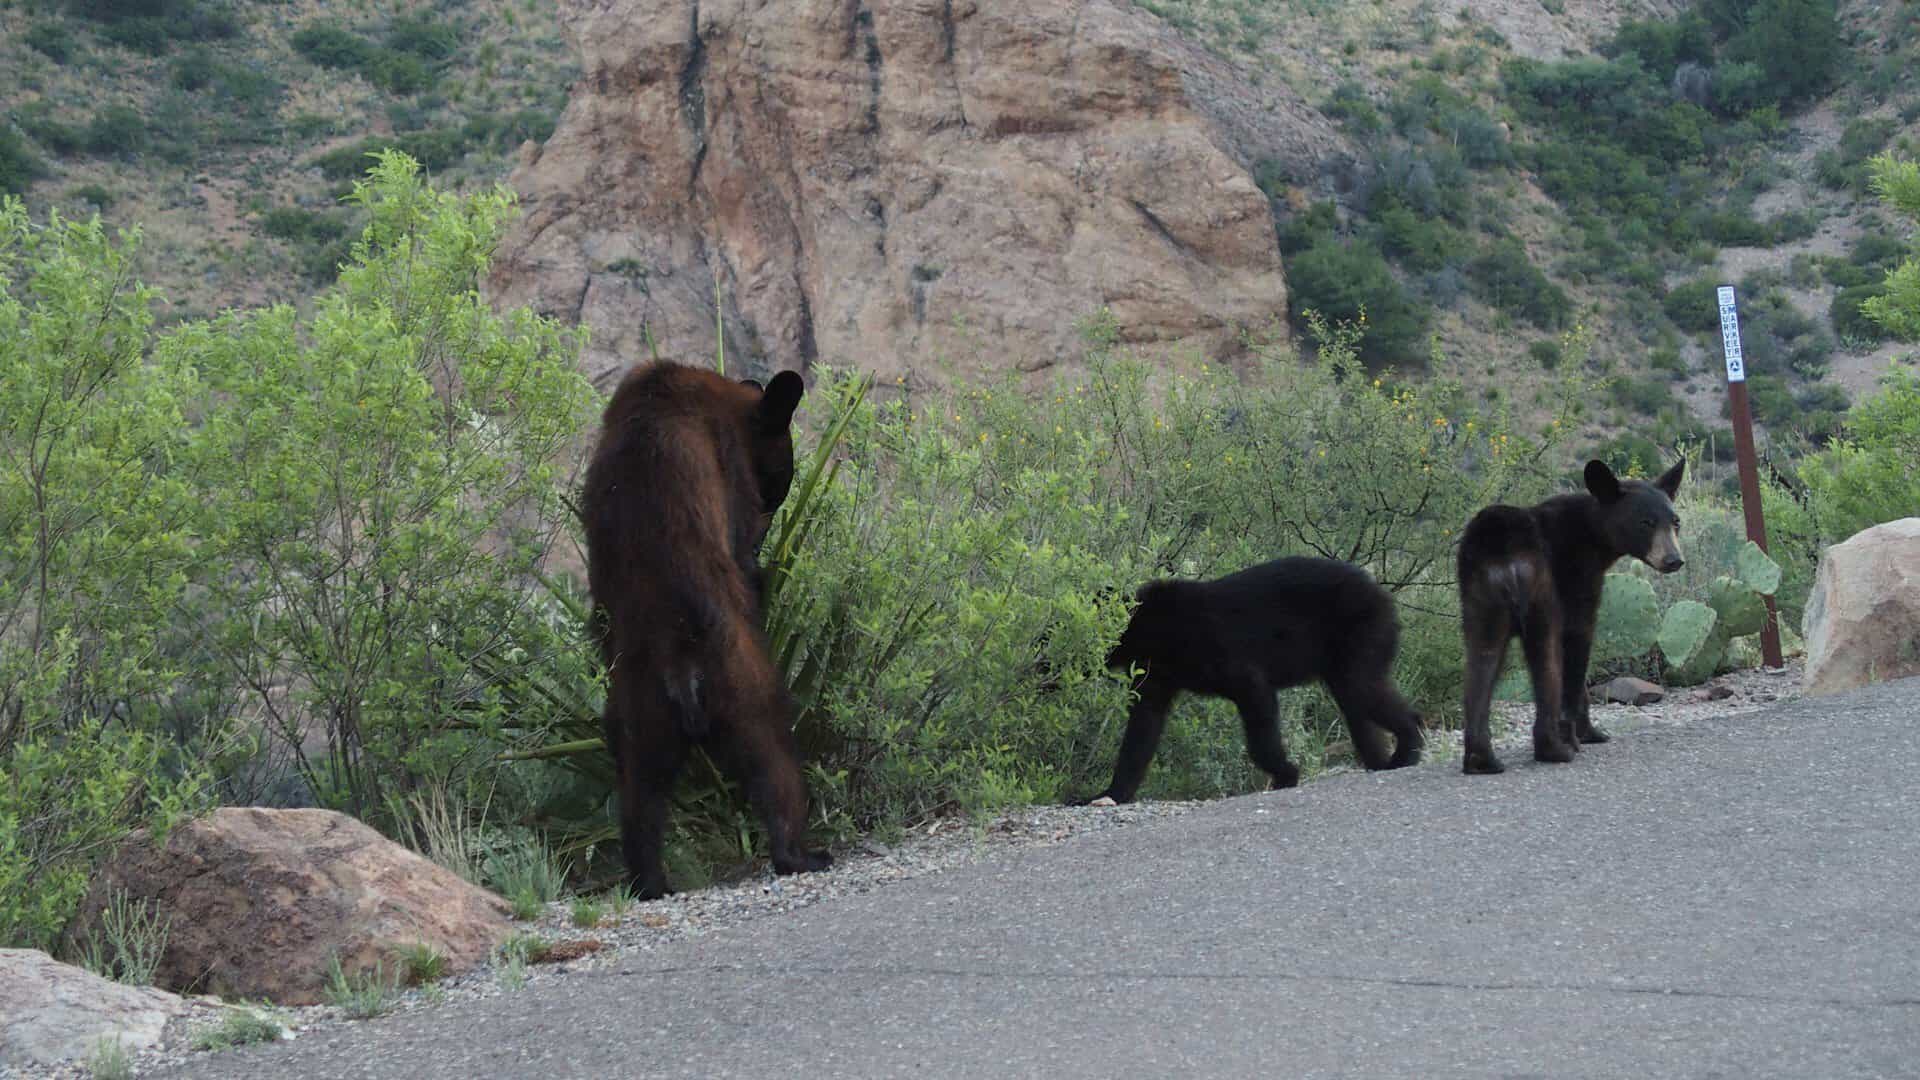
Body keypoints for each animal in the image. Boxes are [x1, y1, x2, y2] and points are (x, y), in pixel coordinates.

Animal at [581, 361, 830, 899]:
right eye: (781, 477)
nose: (774, 512)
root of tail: (680, 668)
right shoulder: (729, 467)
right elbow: (739, 546)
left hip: (638, 711)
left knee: (639, 792)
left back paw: (650, 880)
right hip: (743, 682)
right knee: (773, 755)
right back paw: (800, 853)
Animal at [1075, 556, 1425, 805]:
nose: (1063, 659)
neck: (1151, 631)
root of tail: (1382, 593)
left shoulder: (1212, 648)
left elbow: (1254, 695)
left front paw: (1286, 773)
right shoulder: (1156, 674)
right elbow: (1143, 724)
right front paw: (1104, 794)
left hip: (1360, 628)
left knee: (1361, 688)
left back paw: (1405, 750)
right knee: (1354, 700)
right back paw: (1377, 760)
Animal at [1456, 458, 1686, 774]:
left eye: (1675, 521)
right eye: (1645, 522)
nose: (1674, 560)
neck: (1595, 536)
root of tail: (1502, 548)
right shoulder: (1579, 581)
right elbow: (1578, 648)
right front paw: (1586, 733)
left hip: (1481, 600)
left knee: (1481, 662)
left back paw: (1481, 759)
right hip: (1540, 594)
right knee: (1546, 658)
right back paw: (1554, 748)